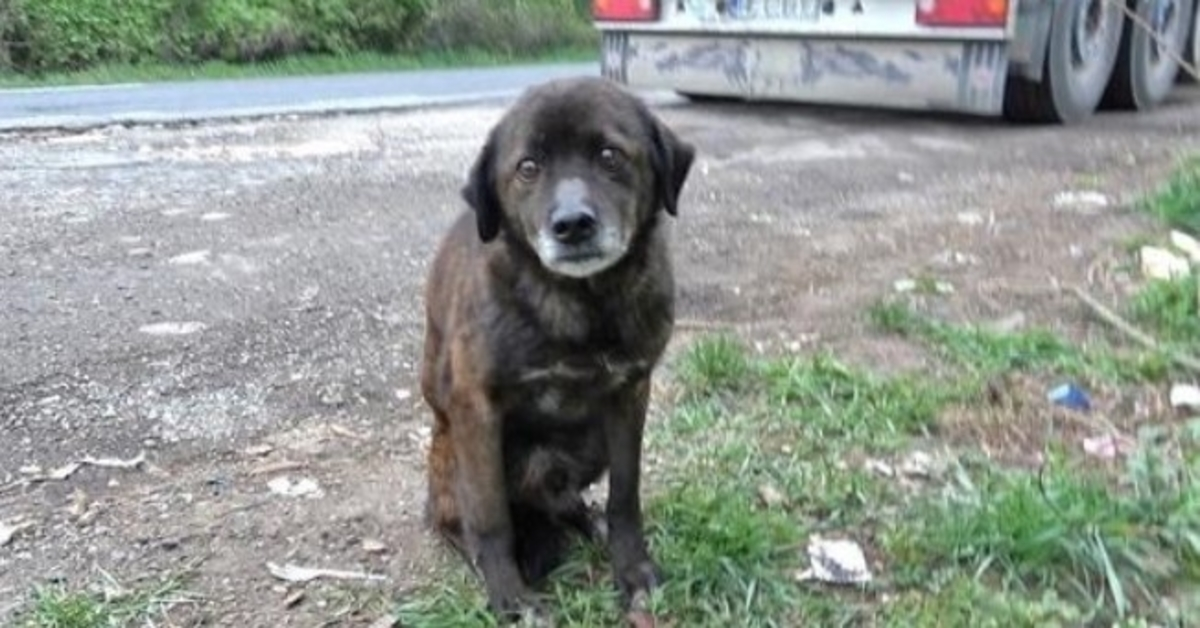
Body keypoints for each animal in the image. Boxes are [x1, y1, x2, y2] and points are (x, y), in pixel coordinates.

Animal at [420, 76, 696, 619]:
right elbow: (490, 517)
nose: (572, 225)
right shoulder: (476, 409)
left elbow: (625, 496)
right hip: (451, 452)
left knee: (565, 501)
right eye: (528, 167)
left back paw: (587, 522)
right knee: (459, 518)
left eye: (610, 155)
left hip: (588, 446)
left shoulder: (630, 393)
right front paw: (509, 597)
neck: (581, 303)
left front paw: (631, 568)